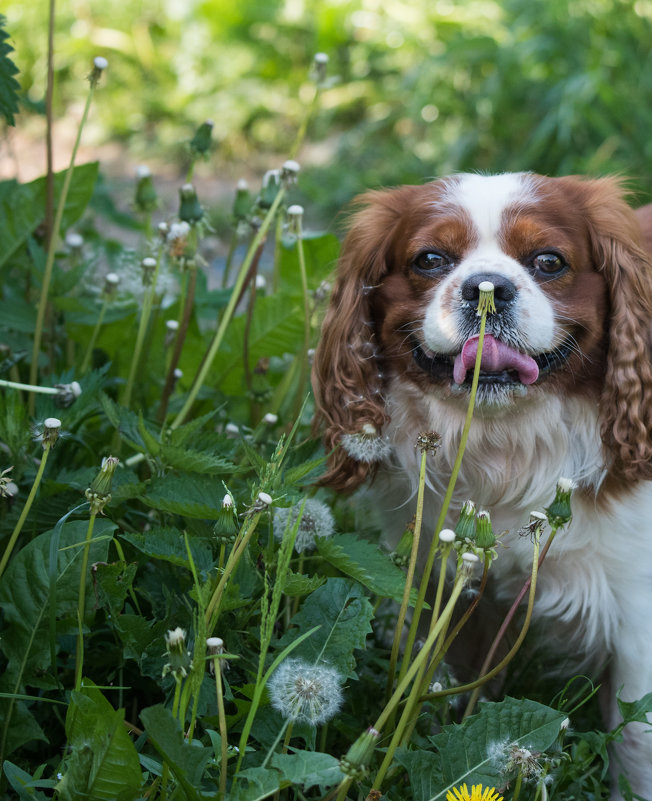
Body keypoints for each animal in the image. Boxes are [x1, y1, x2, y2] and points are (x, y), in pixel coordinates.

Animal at [310, 173, 652, 792]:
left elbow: (636, 738)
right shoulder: (444, 584)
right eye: (429, 259)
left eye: (548, 261)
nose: (486, 288)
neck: (508, 447)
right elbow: (441, 694)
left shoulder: (639, 611)